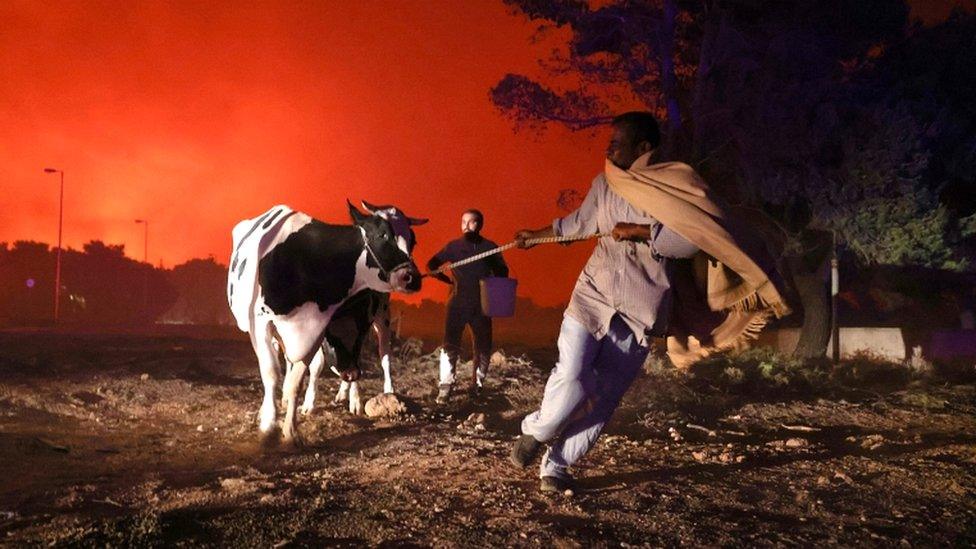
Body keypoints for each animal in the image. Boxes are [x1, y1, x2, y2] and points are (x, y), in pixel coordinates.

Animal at [231, 201, 428, 446]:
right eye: (383, 234)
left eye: (413, 239)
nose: (411, 277)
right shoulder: (261, 324)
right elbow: (272, 374)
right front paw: (268, 423)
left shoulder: (318, 329)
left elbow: (298, 380)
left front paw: (290, 431)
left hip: (382, 316)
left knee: (383, 356)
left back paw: (383, 394)